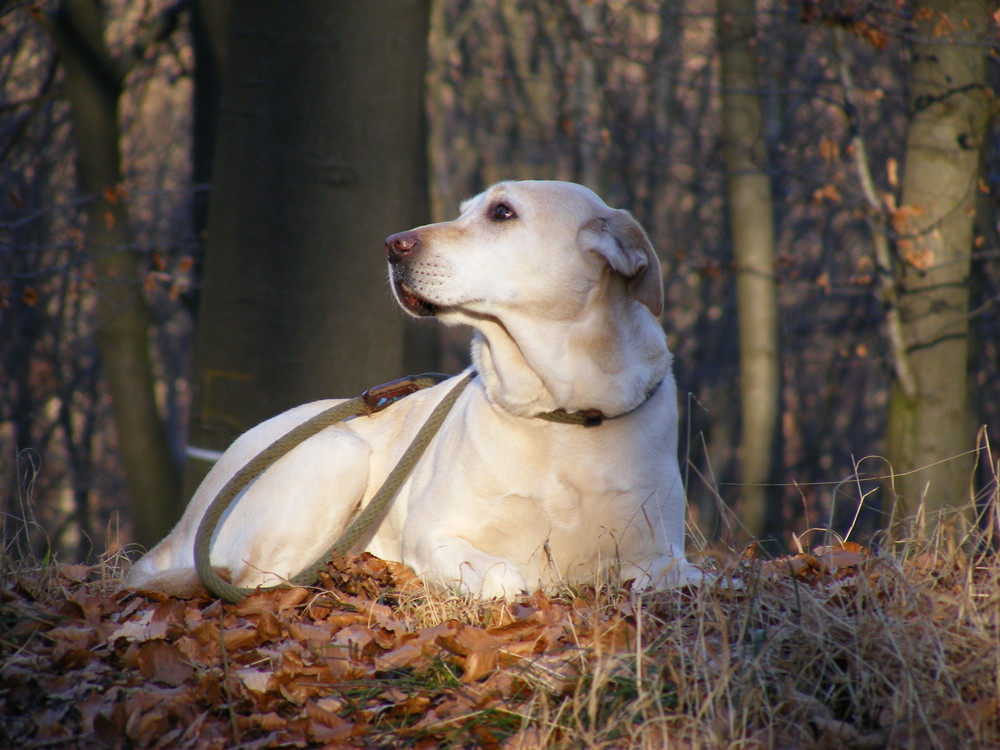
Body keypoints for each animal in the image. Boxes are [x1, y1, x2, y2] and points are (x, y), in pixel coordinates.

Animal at [127, 181, 704, 600]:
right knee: (261, 582)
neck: (560, 409)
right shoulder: (435, 534)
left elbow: (688, 576)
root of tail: (182, 526)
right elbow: (505, 575)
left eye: (502, 212)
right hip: (337, 455)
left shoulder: (663, 553)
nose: (392, 245)